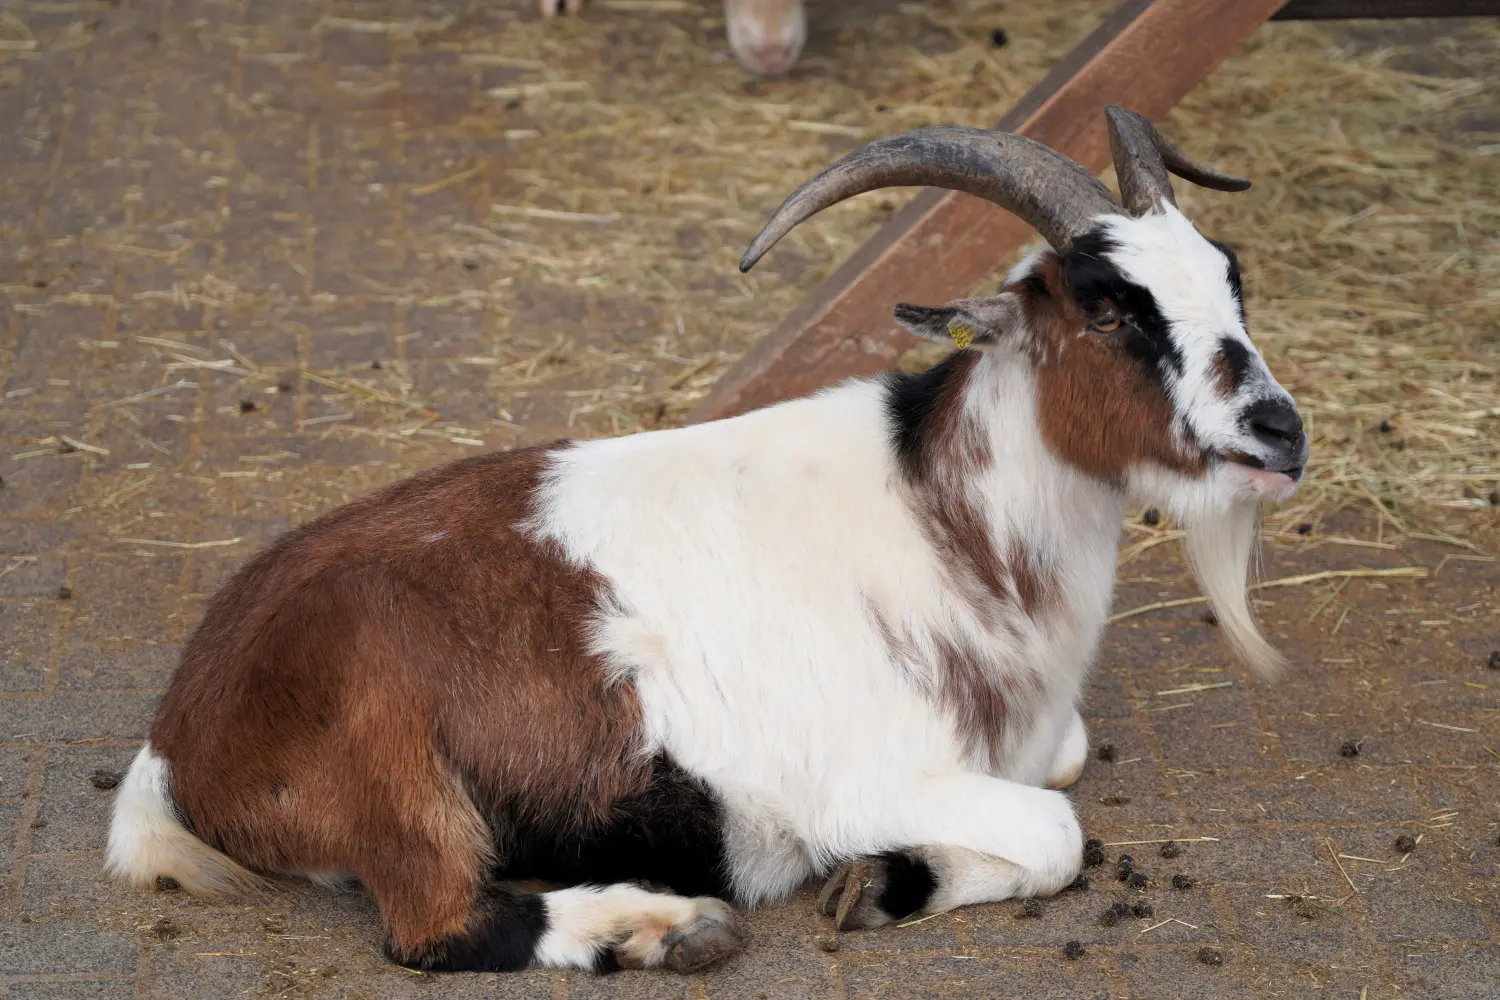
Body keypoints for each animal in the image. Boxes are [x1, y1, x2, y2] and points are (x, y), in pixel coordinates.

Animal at [105, 109, 1308, 977]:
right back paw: (666, 926)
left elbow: (1062, 765)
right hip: (386, 744)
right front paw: (880, 876)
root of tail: (180, 737)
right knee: (436, 926)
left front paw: (883, 882)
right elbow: (1057, 834)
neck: (941, 523)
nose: (1279, 431)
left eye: (1230, 274)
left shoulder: (1030, 738)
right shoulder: (860, 776)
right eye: (1108, 308)